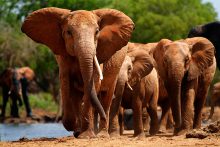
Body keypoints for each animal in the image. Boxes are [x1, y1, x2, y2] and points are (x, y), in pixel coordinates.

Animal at [21, 6, 134, 138]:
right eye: (69, 32)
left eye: (97, 32)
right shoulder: (62, 56)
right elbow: (66, 84)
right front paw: (77, 130)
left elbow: (93, 84)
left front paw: (86, 135)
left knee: (106, 96)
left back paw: (101, 134)